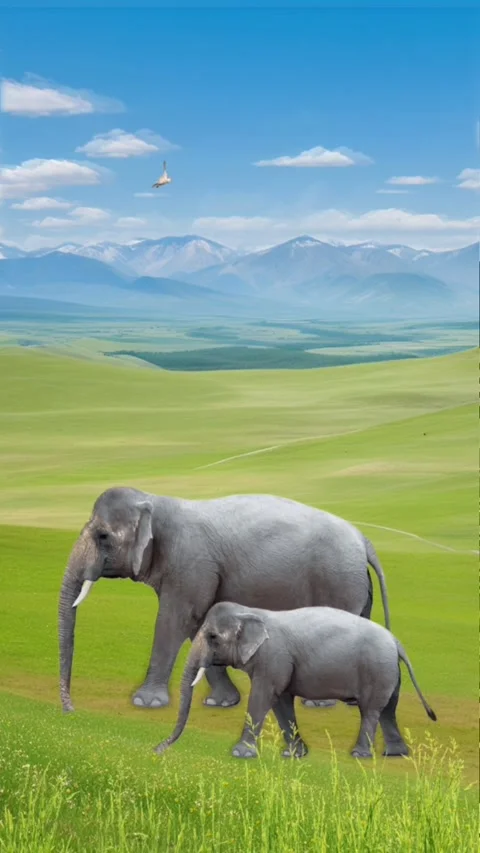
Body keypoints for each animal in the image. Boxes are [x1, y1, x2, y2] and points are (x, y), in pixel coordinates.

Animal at [58, 486, 391, 714]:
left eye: (103, 536)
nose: (71, 709)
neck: (155, 500)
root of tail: (363, 540)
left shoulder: (190, 562)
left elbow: (176, 620)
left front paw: (145, 702)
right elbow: (199, 624)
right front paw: (221, 703)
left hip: (338, 579)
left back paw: (319, 704)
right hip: (355, 582)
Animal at [154, 602, 437, 760]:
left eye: (213, 637)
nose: (157, 750)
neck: (251, 612)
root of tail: (396, 641)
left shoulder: (273, 657)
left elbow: (262, 697)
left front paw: (240, 754)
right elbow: (280, 701)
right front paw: (293, 756)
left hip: (377, 668)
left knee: (371, 710)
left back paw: (359, 756)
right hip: (389, 671)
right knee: (388, 710)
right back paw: (395, 755)